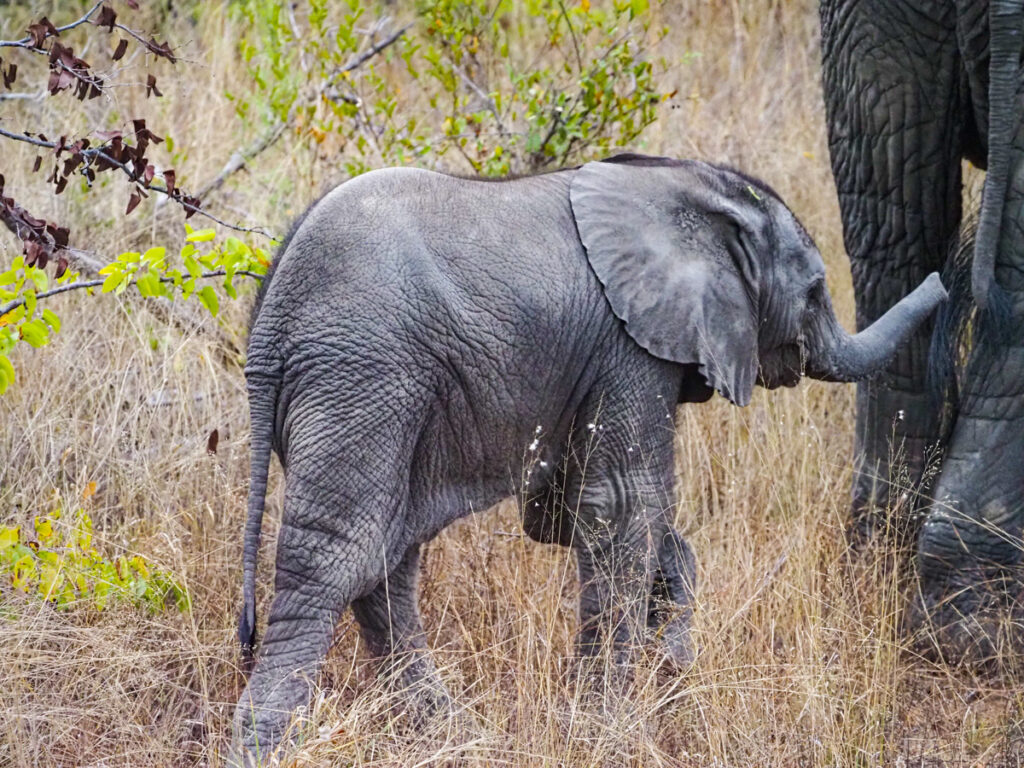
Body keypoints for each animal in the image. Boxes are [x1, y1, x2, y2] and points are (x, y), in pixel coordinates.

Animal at [230, 153, 942, 761]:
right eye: (817, 290)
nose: (944, 281)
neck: (690, 187)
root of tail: (267, 329)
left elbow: (565, 514)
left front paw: (669, 652)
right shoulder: (630, 346)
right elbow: (623, 503)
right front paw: (610, 726)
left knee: (389, 555)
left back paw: (451, 732)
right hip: (361, 374)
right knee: (336, 557)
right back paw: (266, 746)